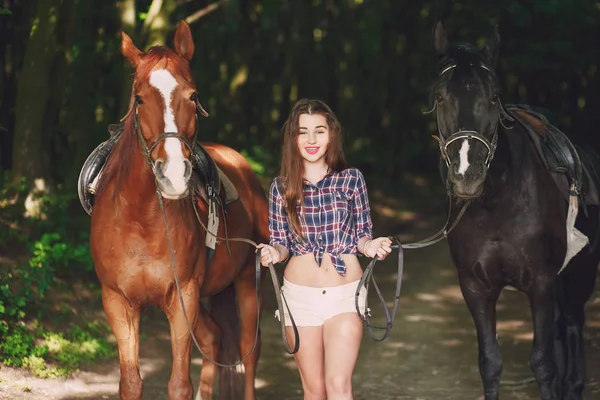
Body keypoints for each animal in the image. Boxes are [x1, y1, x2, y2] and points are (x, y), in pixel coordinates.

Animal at [89, 21, 268, 400]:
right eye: (140, 98)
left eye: (193, 96)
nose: (172, 174)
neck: (140, 219)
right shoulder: (118, 303)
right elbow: (131, 382)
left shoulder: (183, 297)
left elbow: (179, 384)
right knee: (215, 337)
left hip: (248, 279)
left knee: (250, 345)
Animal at [428, 21, 600, 400]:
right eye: (439, 96)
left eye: (494, 96)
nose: (467, 175)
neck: (497, 205)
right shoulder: (475, 287)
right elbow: (490, 363)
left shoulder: (541, 283)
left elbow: (543, 363)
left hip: (579, 273)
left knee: (572, 323)